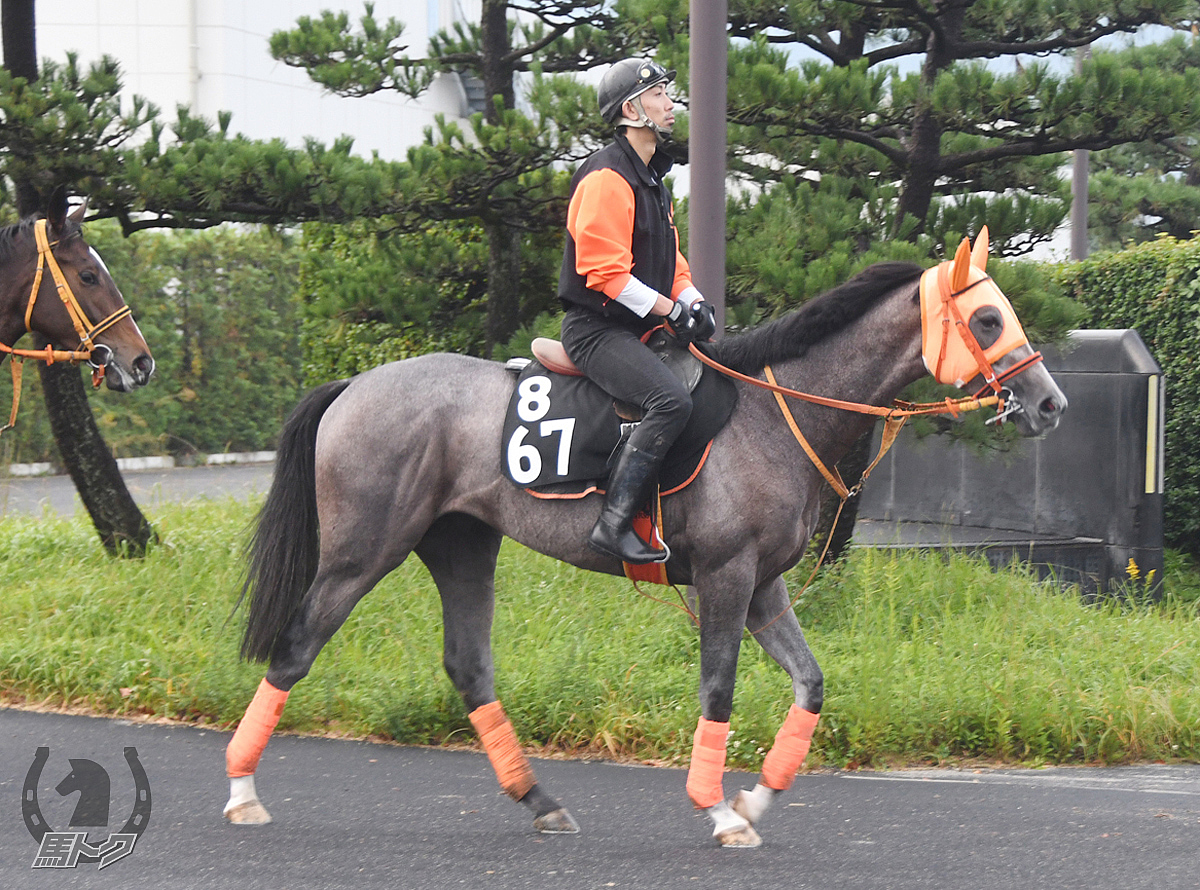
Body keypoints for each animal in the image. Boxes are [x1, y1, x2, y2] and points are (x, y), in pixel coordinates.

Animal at [220, 235, 1065, 849]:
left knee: (468, 666)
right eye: (988, 319)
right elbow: (718, 690)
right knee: (295, 647)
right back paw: (241, 790)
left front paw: (755, 799)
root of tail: (354, 386)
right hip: (362, 553)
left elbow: (811, 684)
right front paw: (718, 810)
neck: (773, 414)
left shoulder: (764, 587)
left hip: (462, 544)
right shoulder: (726, 576)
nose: (1050, 403)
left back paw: (540, 801)